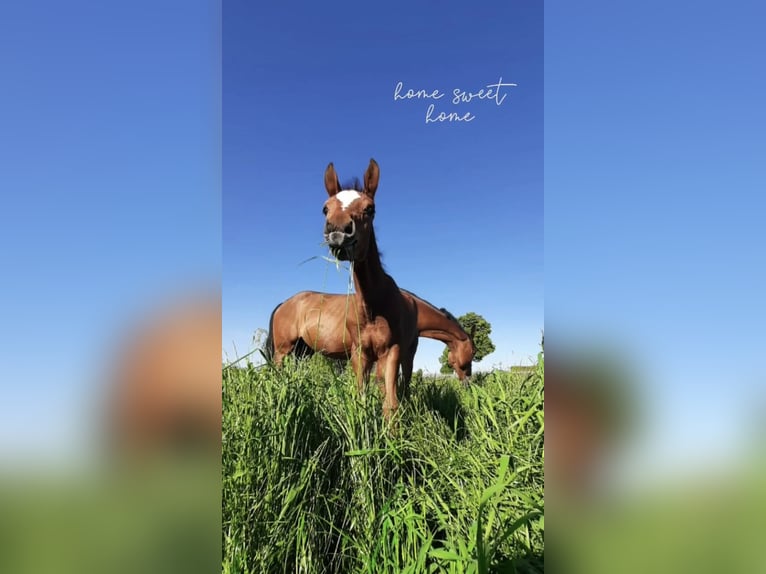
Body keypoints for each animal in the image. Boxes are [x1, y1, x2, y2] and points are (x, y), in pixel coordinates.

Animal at [265, 289, 475, 393]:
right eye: (472, 353)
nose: (469, 385)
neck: (410, 309)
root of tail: (284, 304)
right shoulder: (405, 354)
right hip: (283, 350)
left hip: (303, 352)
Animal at [271, 159, 418, 418]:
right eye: (325, 208)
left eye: (370, 208)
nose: (338, 232)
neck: (373, 306)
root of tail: (283, 304)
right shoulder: (359, 354)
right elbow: (360, 399)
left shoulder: (391, 352)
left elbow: (389, 404)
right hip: (284, 350)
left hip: (303, 352)